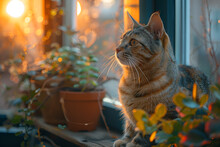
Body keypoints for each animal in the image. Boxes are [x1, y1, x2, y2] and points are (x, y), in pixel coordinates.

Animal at [113, 12, 211, 146]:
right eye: (121, 39)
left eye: (133, 42)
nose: (117, 48)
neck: (133, 81)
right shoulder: (130, 117)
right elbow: (130, 126)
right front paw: (125, 140)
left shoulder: (163, 117)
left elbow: (146, 133)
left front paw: (133, 143)